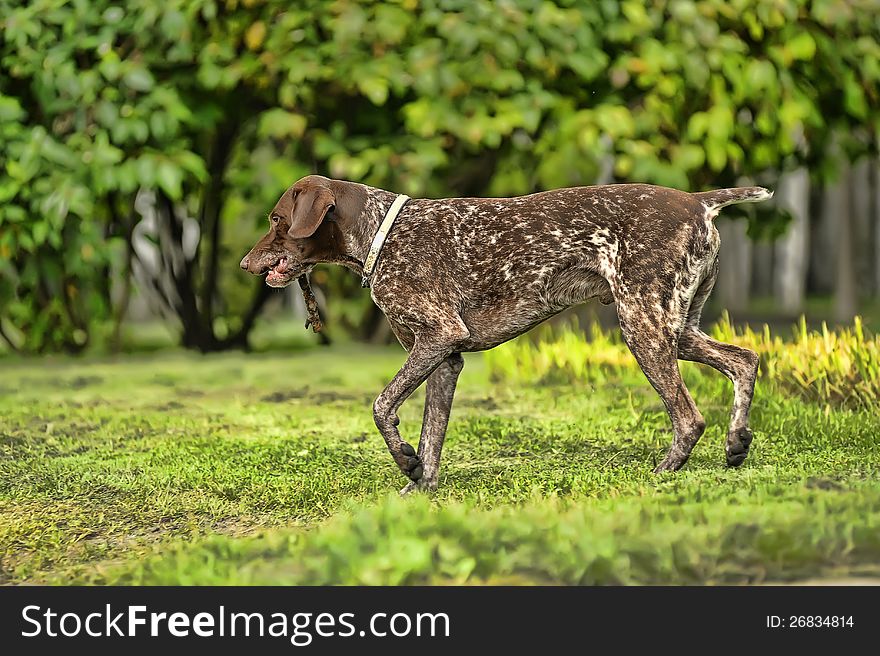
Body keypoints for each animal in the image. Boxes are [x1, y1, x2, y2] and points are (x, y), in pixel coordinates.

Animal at [241, 174, 768, 492]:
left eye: (276, 220)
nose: (245, 263)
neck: (381, 236)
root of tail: (699, 203)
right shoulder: (445, 358)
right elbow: (432, 435)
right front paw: (420, 486)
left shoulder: (439, 336)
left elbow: (381, 407)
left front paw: (406, 462)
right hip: (677, 328)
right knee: (745, 359)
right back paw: (736, 441)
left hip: (643, 327)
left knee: (690, 416)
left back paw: (663, 472)